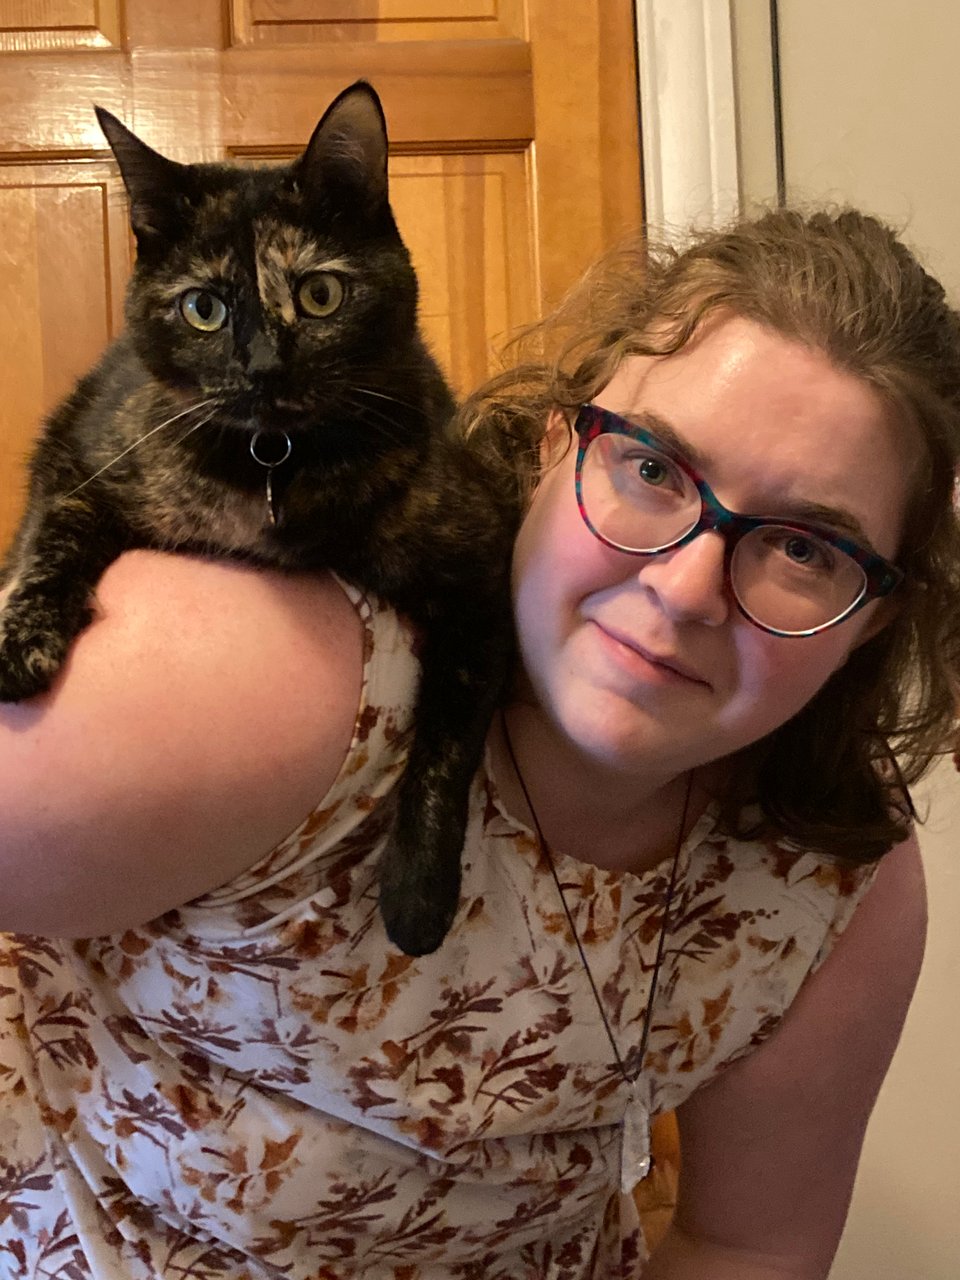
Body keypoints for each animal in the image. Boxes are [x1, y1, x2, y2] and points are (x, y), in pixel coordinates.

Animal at [0, 82, 522, 952]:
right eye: (204, 308)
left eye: (319, 294)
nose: (265, 367)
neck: (275, 468)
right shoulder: (81, 463)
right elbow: (51, 542)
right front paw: (19, 643)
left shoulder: (480, 572)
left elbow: (446, 746)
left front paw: (417, 895)